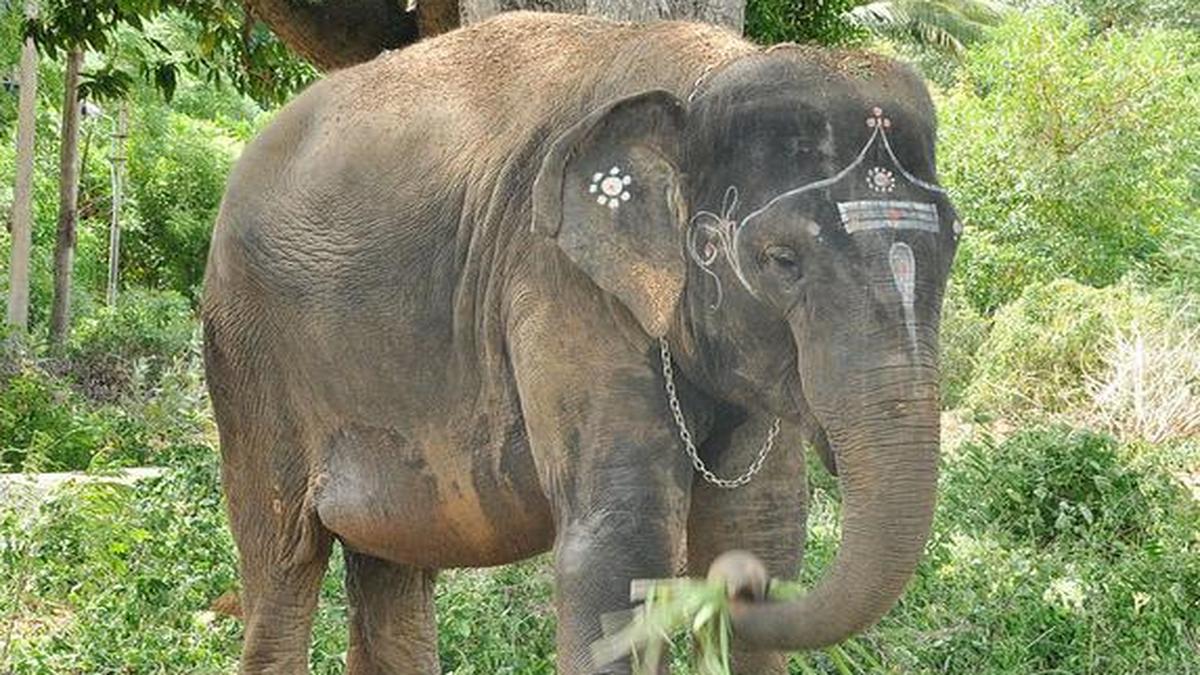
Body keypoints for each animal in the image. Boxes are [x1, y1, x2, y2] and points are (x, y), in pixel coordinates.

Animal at [202, 10, 960, 675]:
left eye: (953, 244)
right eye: (781, 260)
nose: (732, 587)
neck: (705, 71)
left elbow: (760, 524)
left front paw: (743, 558)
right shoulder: (558, 280)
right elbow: (622, 540)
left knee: (390, 565)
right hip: (248, 353)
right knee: (284, 559)